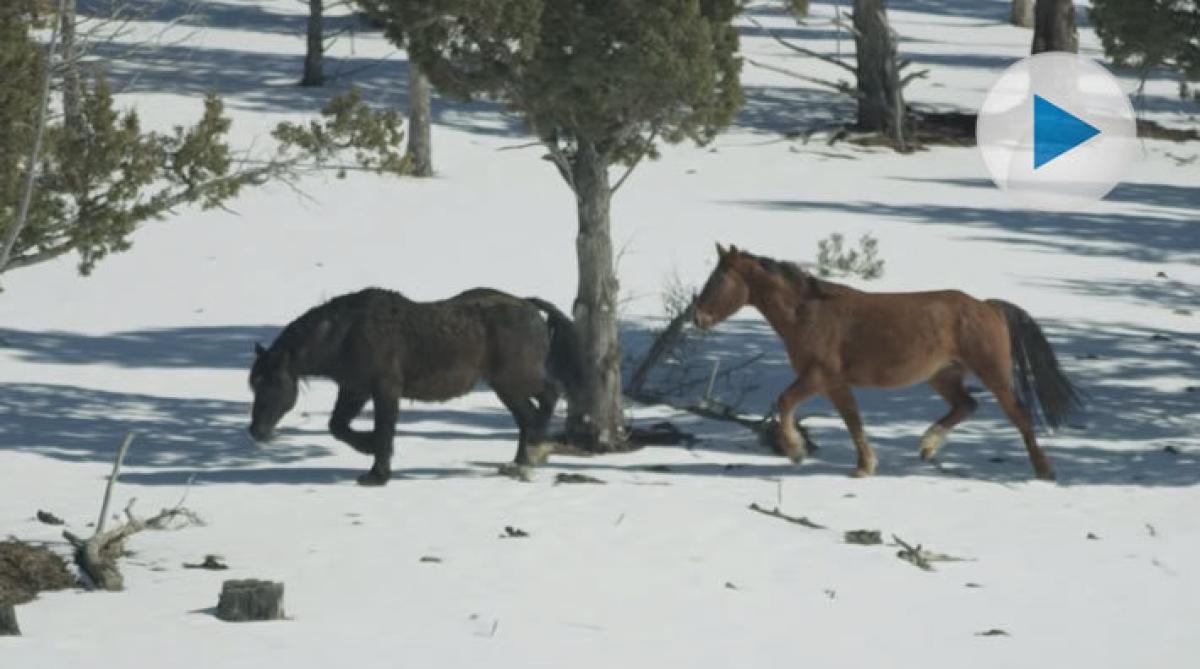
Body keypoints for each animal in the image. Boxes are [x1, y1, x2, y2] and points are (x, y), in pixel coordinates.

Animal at [247, 288, 580, 486]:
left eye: (271, 382)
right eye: (254, 384)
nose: (256, 431)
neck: (345, 335)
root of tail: (530, 306)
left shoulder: (385, 390)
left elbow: (383, 429)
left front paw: (378, 471)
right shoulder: (354, 390)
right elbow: (338, 427)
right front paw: (368, 449)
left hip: (513, 380)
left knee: (546, 399)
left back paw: (533, 451)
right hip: (508, 385)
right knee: (531, 413)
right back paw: (524, 458)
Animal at [691, 246, 1084, 481]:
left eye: (719, 279)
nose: (698, 318)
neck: (808, 313)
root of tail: (986, 305)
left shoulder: (818, 376)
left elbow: (786, 402)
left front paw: (795, 450)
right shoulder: (835, 383)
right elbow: (853, 422)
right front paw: (865, 466)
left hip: (993, 373)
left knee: (1019, 414)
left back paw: (1044, 470)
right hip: (943, 376)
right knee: (967, 405)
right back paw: (927, 445)